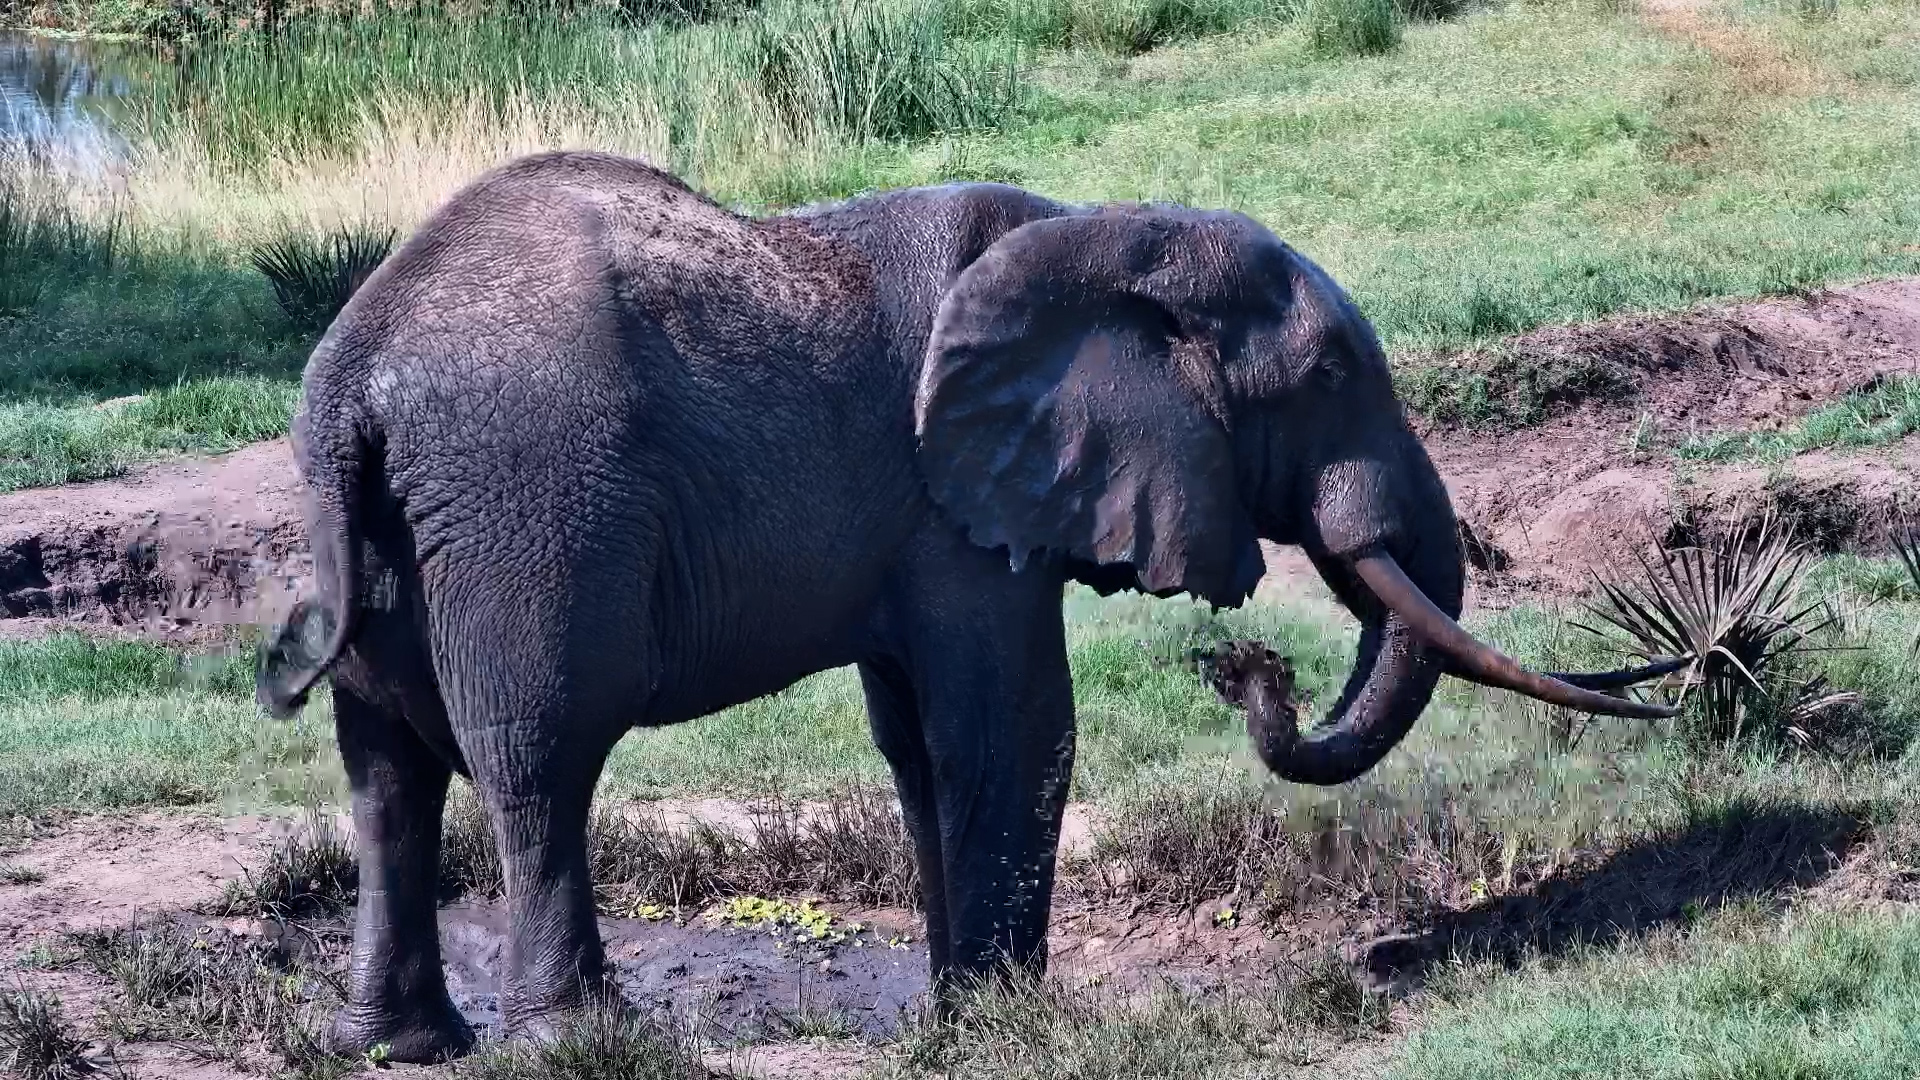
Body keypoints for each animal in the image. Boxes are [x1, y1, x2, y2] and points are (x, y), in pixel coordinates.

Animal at [254, 149, 1681, 1062]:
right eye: (1330, 374)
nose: (1247, 668)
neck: (1097, 233)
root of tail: (352, 381)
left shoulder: (931, 516)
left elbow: (921, 743)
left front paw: (958, 1018)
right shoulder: (956, 507)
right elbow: (1014, 725)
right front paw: (1011, 1027)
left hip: (391, 537)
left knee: (383, 772)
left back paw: (400, 1045)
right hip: (528, 513)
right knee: (539, 757)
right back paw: (587, 1045)